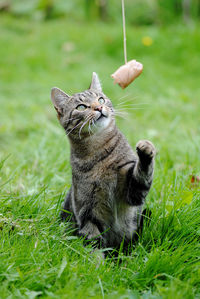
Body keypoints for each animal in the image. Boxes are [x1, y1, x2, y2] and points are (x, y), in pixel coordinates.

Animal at [50, 72, 156, 251]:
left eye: (100, 99)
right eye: (81, 107)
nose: (99, 108)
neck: (98, 149)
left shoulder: (134, 194)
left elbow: (141, 174)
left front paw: (145, 149)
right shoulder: (88, 213)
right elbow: (94, 246)